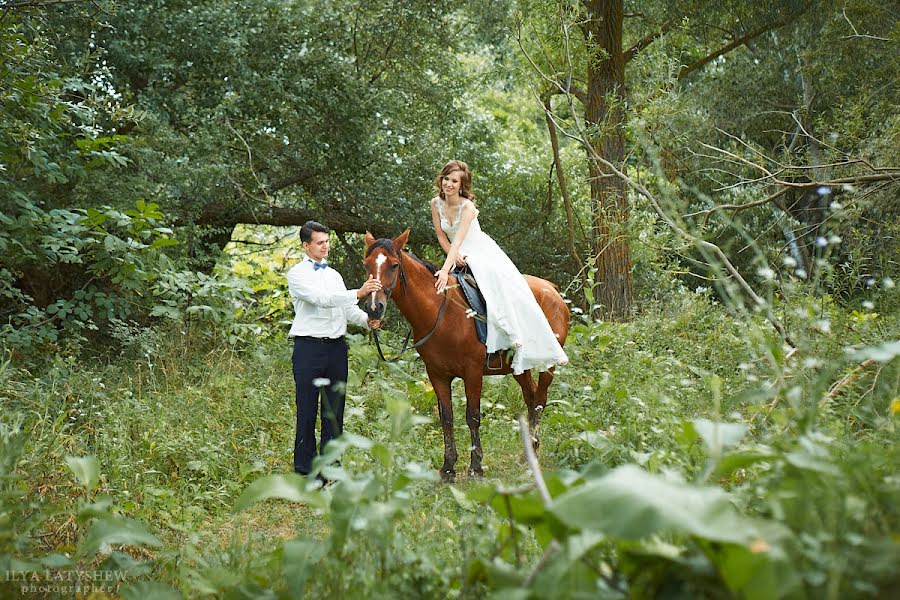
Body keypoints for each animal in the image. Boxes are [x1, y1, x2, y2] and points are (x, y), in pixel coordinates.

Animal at [360, 227, 568, 480]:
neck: (442, 312)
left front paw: (476, 466)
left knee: (539, 400)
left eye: (393, 265)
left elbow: (472, 416)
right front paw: (448, 467)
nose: (373, 307)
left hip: (547, 365)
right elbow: (447, 418)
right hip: (520, 367)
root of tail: (552, 290)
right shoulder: (437, 375)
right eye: (366, 264)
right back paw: (527, 453)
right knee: (531, 398)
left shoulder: (473, 372)